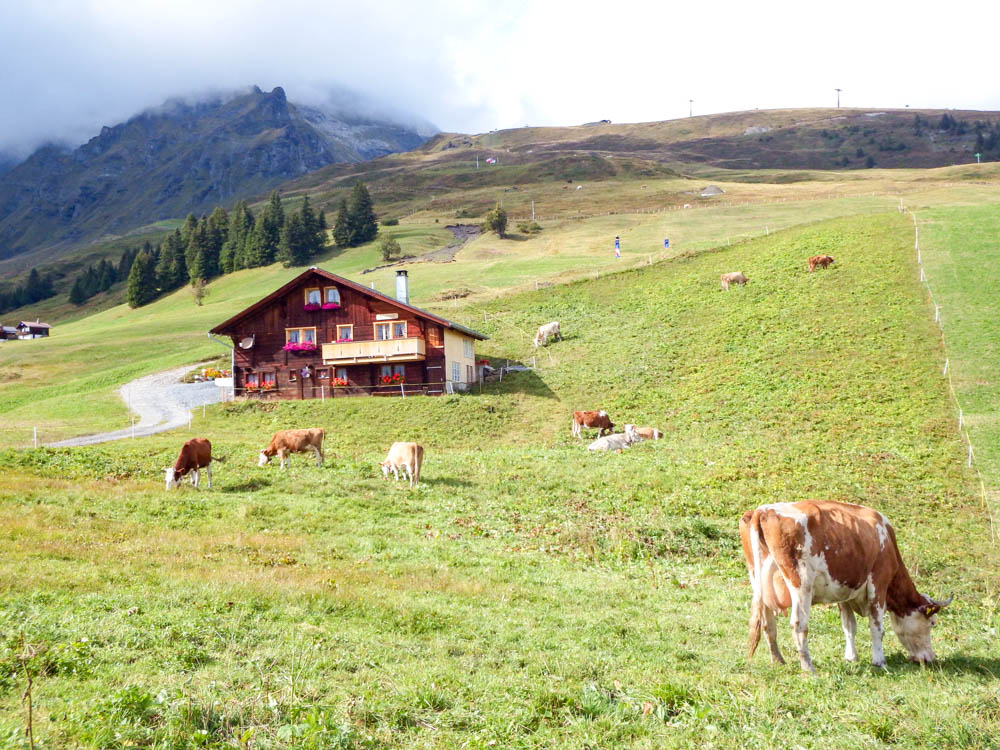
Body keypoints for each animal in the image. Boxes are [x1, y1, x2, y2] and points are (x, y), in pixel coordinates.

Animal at [744, 502, 952, 672]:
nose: (930, 659)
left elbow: (849, 626)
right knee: (798, 624)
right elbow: (877, 627)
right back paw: (808, 667)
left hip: (759, 581)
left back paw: (778, 660)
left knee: (767, 624)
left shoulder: (843, 591)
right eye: (932, 623)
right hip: (801, 583)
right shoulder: (878, 583)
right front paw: (879, 661)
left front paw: (851, 657)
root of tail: (764, 510)